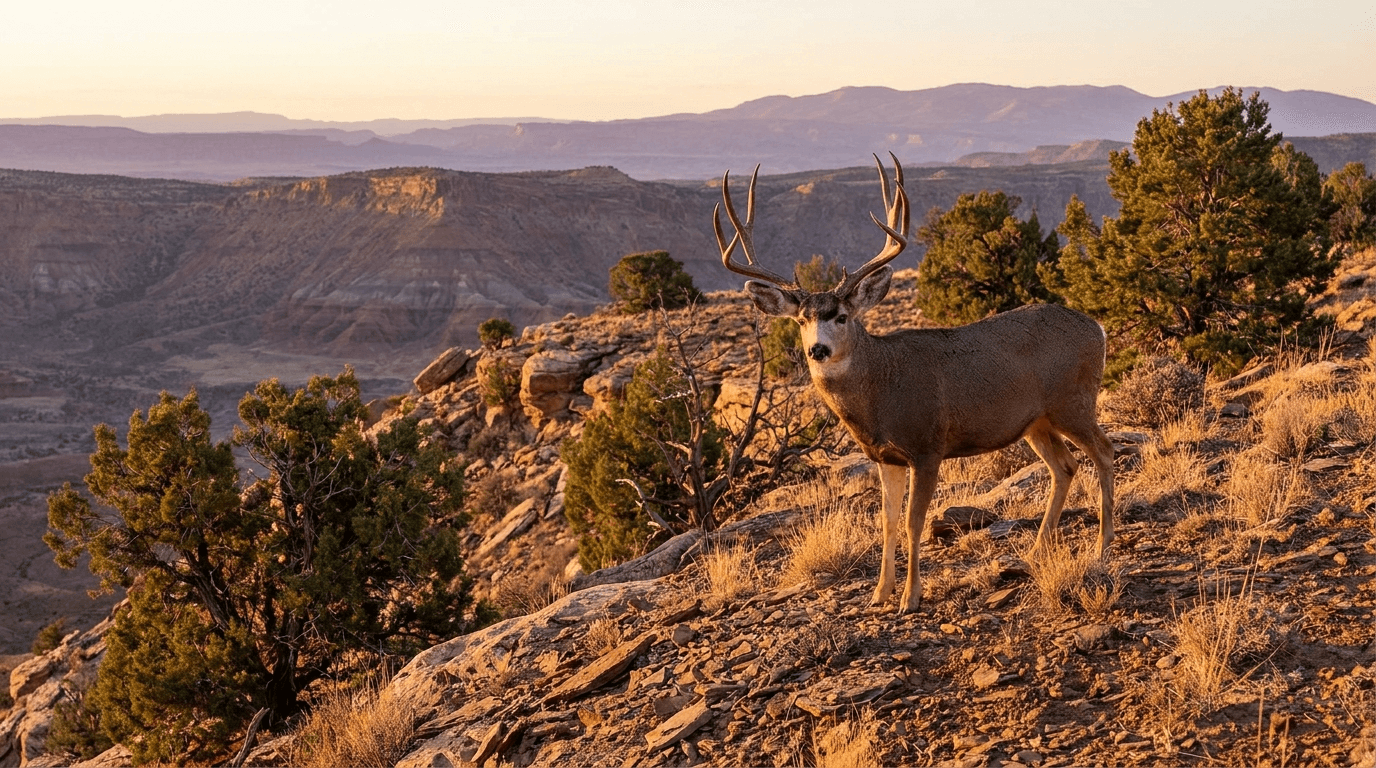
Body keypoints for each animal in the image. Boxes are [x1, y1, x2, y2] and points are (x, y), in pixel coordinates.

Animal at [714, 153, 1115, 614]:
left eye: (841, 316)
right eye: (800, 320)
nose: (817, 349)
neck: (882, 390)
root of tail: (1098, 328)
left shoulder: (927, 446)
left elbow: (913, 522)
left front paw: (910, 596)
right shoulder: (885, 457)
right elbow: (887, 522)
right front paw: (879, 594)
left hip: (1074, 401)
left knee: (1104, 452)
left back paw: (1103, 546)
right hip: (1036, 422)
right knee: (1064, 466)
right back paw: (1035, 551)